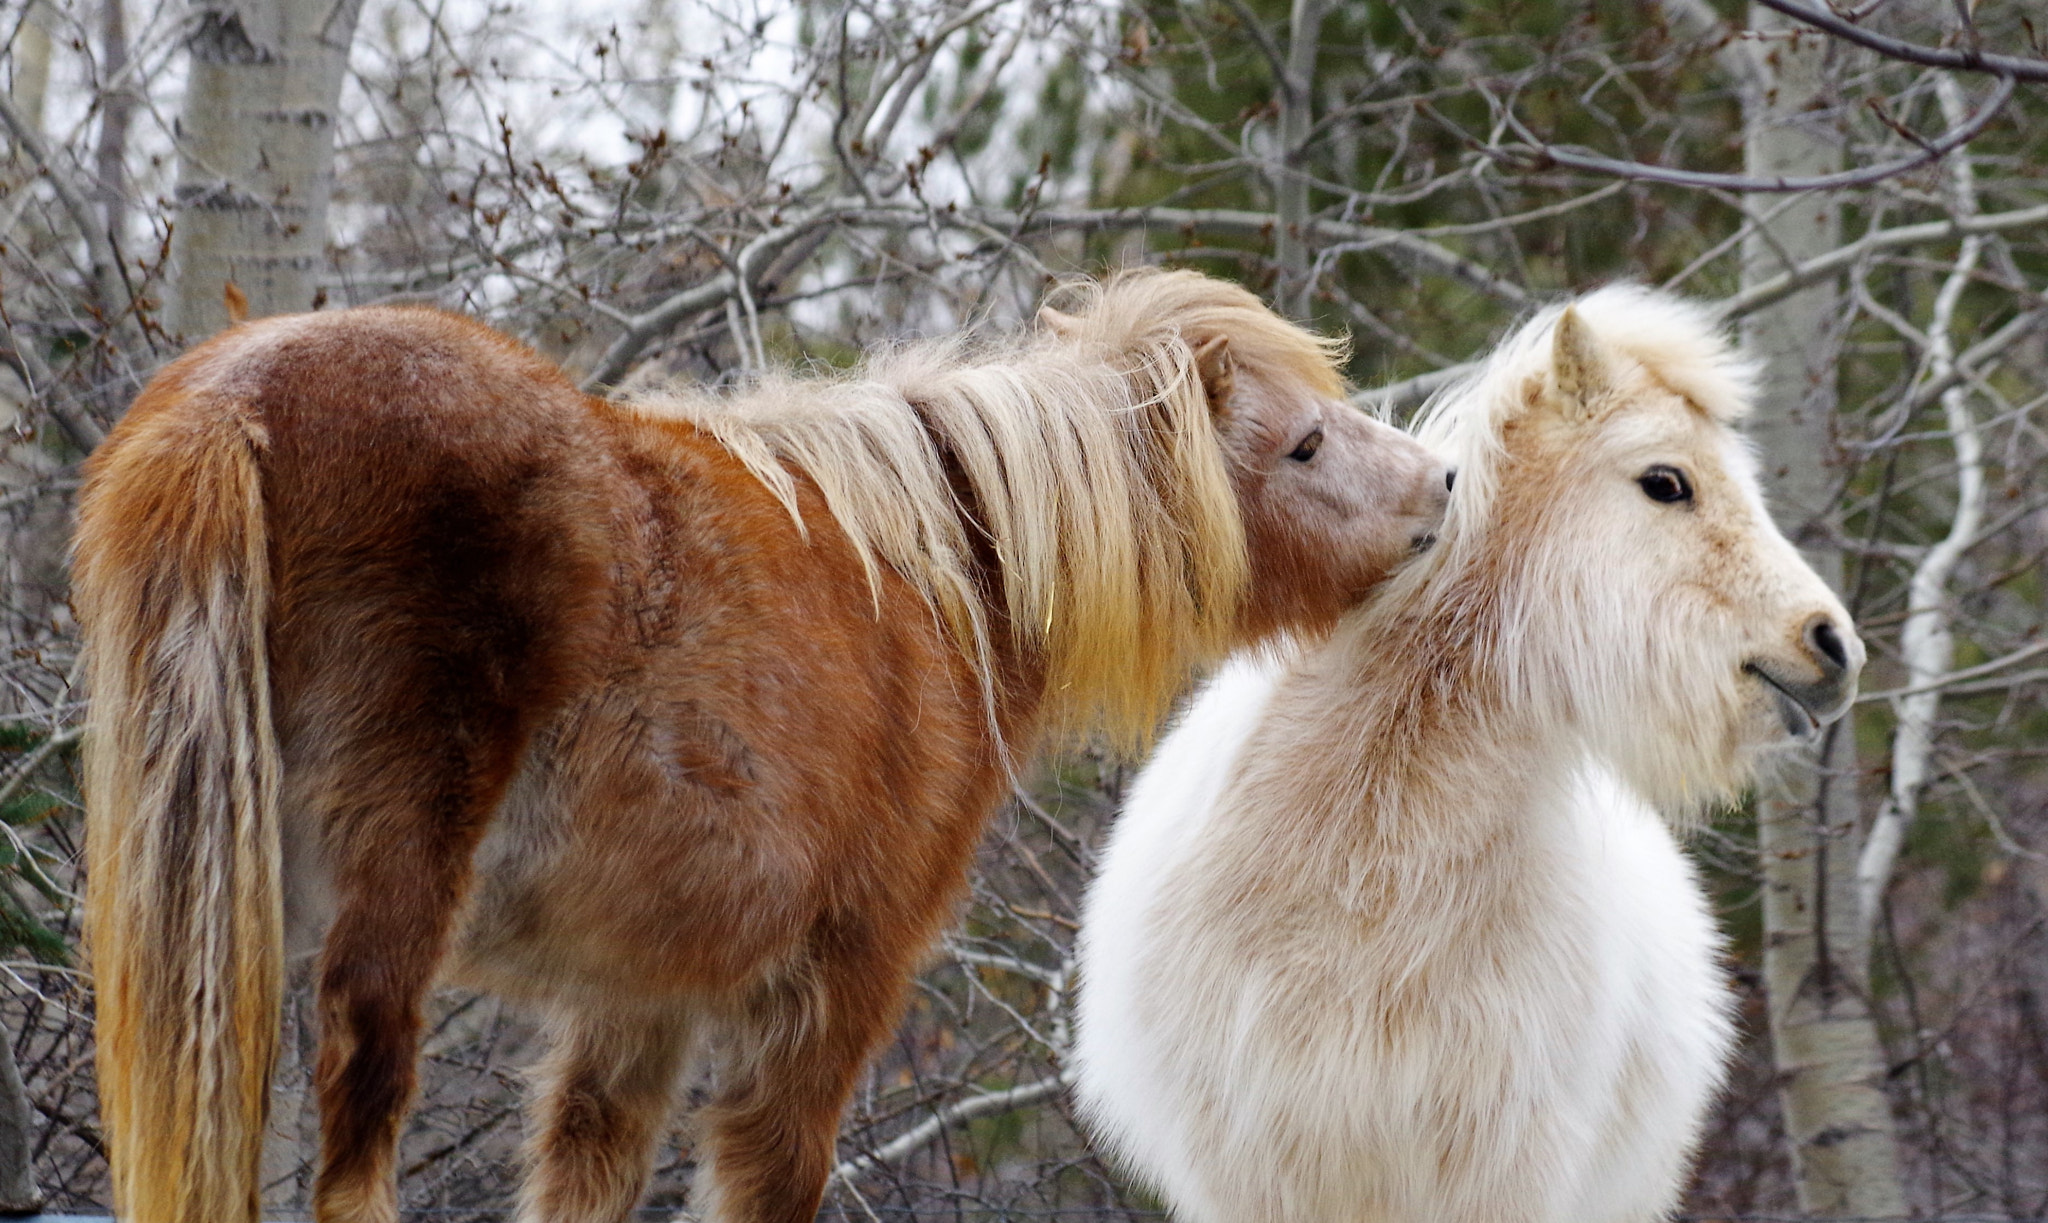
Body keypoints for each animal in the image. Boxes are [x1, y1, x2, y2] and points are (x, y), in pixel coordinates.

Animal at [79, 270, 1449, 1220]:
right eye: (1302, 442)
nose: (1441, 485)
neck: (930, 588)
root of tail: (238, 399)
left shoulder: (636, 1007)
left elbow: (582, 1174)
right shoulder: (830, 992)